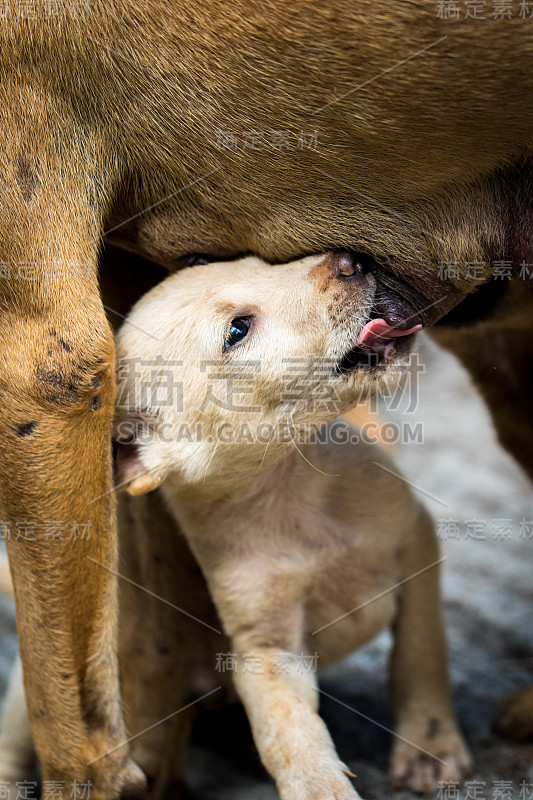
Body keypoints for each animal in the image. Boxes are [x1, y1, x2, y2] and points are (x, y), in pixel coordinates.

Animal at [1, 3, 532, 796]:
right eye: (237, 330)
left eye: (249, 261)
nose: (346, 261)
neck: (290, 486)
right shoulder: (264, 646)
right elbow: (287, 735)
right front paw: (321, 784)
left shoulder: (417, 547)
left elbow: (421, 652)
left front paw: (429, 744)